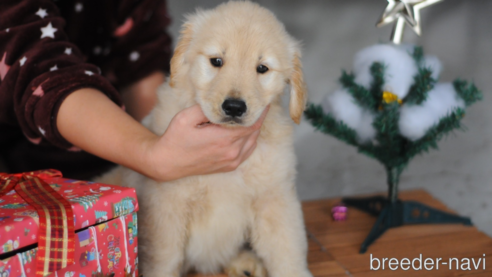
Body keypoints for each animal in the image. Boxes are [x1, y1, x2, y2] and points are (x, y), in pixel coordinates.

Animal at [98, 1, 310, 276]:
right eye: (216, 61)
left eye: (262, 68)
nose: (234, 107)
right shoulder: (166, 205)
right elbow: (164, 259)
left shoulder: (274, 197)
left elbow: (286, 249)